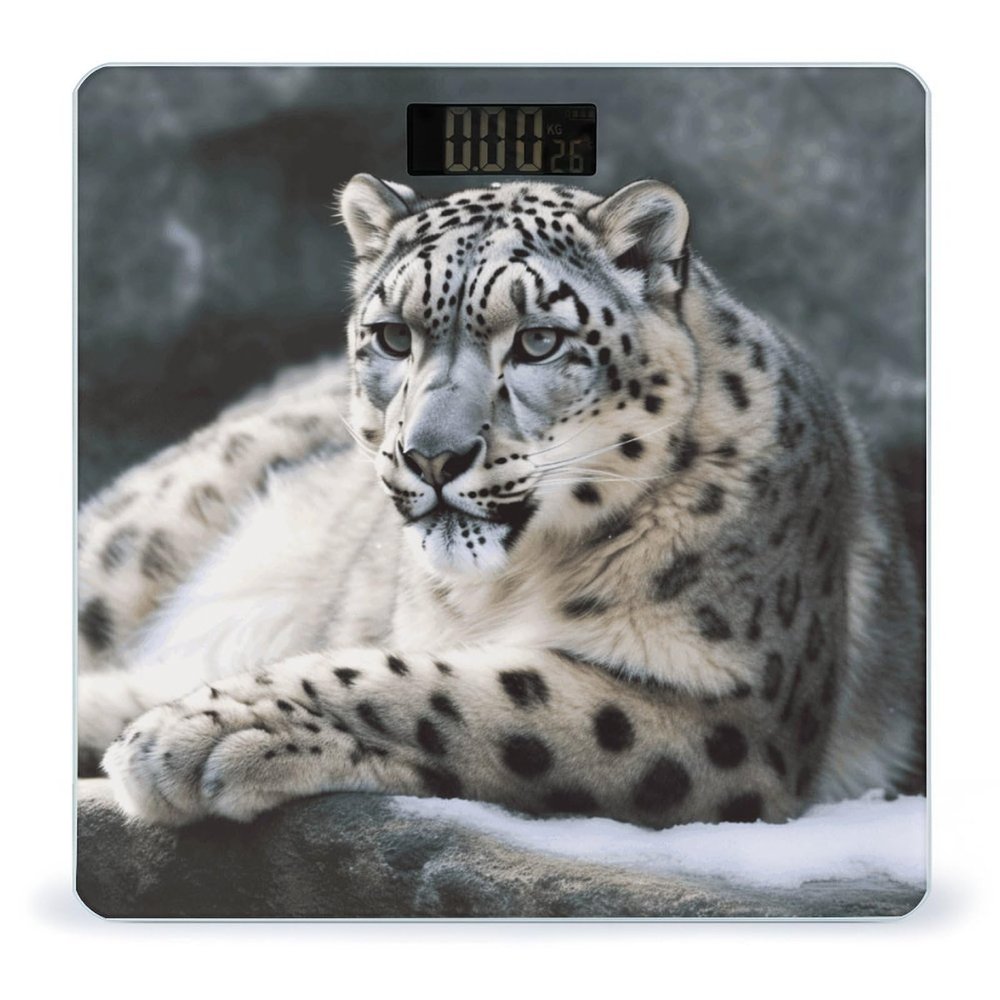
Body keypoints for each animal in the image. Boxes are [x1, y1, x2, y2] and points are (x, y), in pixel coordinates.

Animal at [78, 173, 924, 829]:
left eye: (539, 341)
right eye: (392, 335)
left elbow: (456, 693)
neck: (509, 586)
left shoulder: (736, 713)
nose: (432, 455)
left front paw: (195, 735)